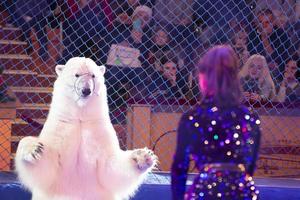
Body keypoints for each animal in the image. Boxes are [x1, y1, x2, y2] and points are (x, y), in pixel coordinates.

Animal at [15, 57, 158, 199]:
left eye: (93, 75)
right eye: (76, 75)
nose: (86, 90)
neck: (80, 117)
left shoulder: (98, 129)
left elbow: (110, 167)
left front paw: (143, 156)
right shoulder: (60, 127)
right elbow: (47, 168)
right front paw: (34, 148)